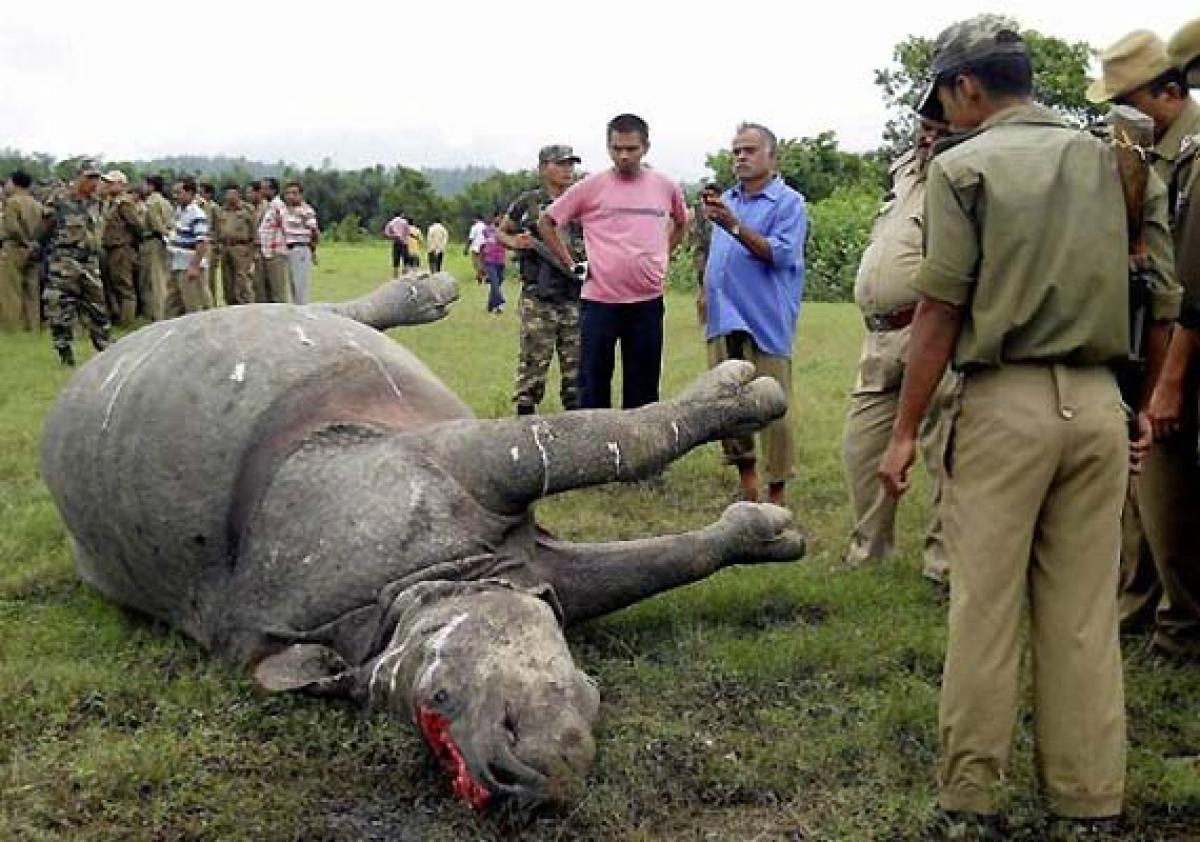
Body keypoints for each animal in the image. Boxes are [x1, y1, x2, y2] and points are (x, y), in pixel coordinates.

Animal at [42, 275, 806, 810]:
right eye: (433, 700)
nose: (514, 781)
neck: (415, 586)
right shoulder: (521, 556)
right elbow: (641, 514)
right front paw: (763, 516)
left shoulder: (462, 469)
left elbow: (608, 441)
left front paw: (742, 403)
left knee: (320, 316)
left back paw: (427, 290)